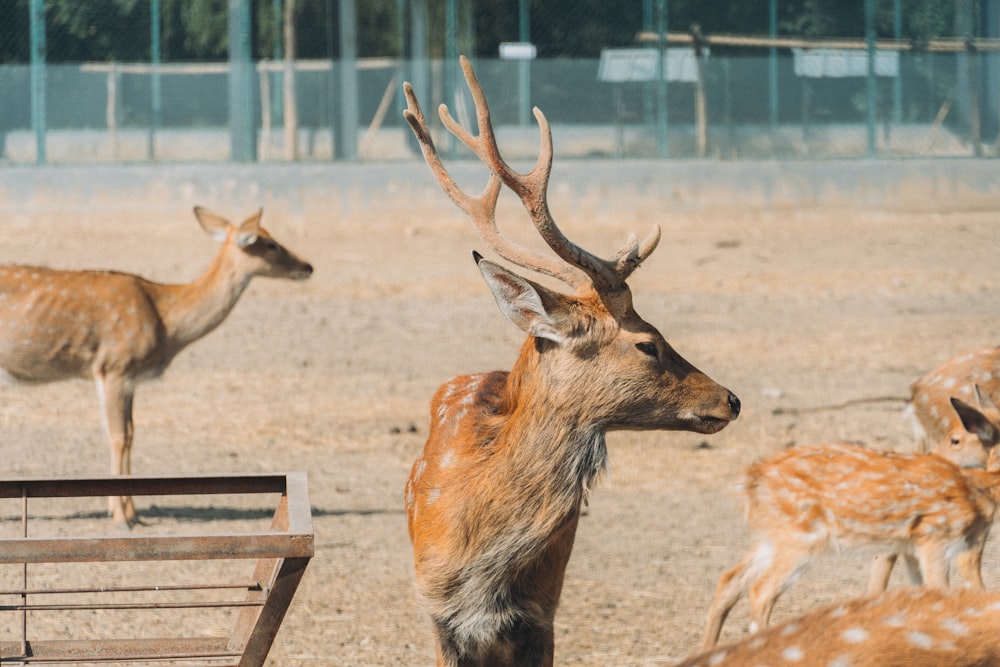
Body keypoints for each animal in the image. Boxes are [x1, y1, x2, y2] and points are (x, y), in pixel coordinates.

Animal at [0, 209, 310, 528]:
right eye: (271, 244)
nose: (308, 267)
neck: (165, 320)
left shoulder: (130, 377)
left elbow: (130, 434)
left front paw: (131, 511)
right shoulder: (114, 365)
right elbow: (118, 436)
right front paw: (122, 517)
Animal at [700, 396, 1000, 652]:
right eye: (955, 439)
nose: (933, 455)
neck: (981, 490)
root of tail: (751, 479)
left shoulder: (914, 547)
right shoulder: (935, 538)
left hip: (774, 535)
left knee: (730, 580)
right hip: (800, 537)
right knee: (760, 592)